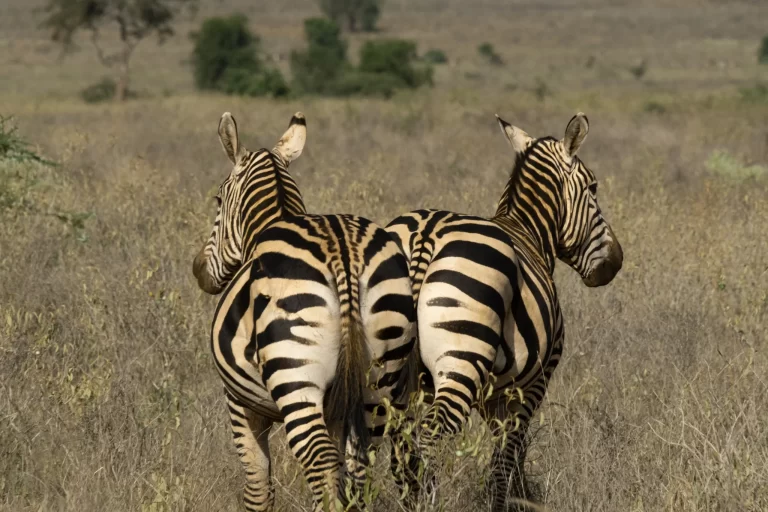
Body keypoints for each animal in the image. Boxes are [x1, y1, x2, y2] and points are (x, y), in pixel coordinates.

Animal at [192, 112, 415, 511]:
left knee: (321, 463)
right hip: (379, 377)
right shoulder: (339, 407)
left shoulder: (241, 404)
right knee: (359, 466)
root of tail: (343, 253)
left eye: (217, 199)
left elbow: (257, 485)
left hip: (295, 375)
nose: (198, 270)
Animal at [385, 113, 623, 510]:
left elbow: (509, 454)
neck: (528, 232)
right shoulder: (530, 383)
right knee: (428, 437)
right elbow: (508, 453)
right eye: (593, 188)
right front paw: (505, 501)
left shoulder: (489, 394)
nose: (616, 263)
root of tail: (424, 235)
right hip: (461, 363)